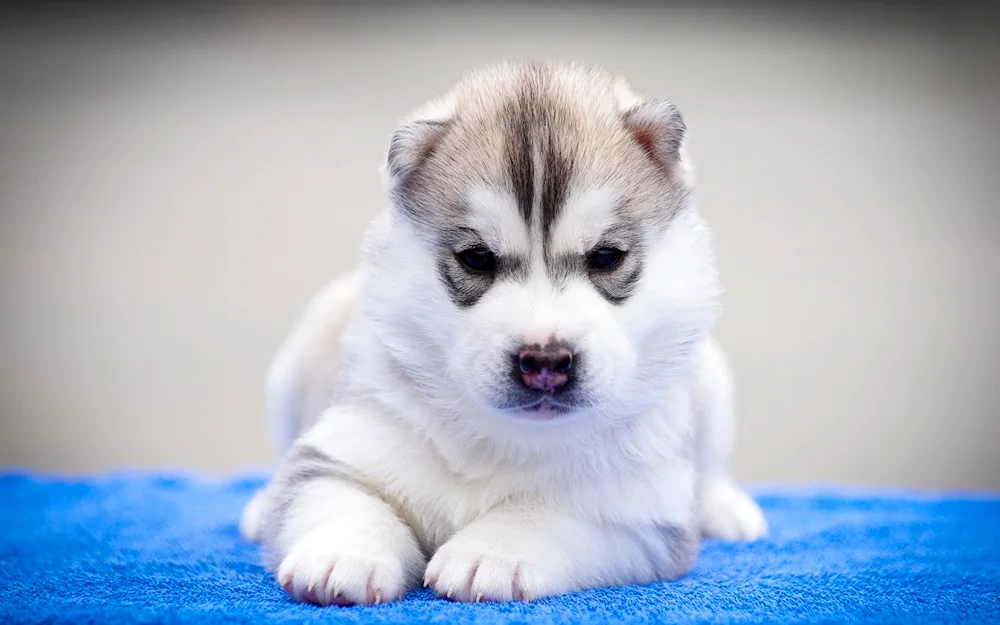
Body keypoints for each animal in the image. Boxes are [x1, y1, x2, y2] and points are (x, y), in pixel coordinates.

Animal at [240, 63, 764, 604]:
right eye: (476, 258)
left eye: (606, 257)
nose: (545, 362)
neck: (505, 438)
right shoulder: (347, 445)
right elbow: (338, 495)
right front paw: (343, 553)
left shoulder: (638, 509)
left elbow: (551, 513)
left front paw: (491, 553)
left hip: (711, 380)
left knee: (713, 463)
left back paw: (726, 508)